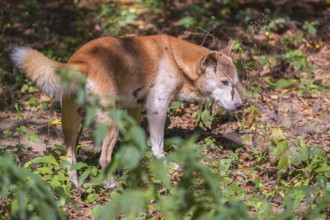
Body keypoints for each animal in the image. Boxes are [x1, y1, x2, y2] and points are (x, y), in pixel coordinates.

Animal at [10, 34, 242, 187]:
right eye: (224, 82)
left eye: (236, 82)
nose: (240, 105)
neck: (176, 60)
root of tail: (81, 63)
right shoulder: (157, 109)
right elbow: (158, 147)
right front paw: (166, 166)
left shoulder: (135, 109)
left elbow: (135, 142)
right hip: (110, 123)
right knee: (103, 159)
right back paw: (110, 184)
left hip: (71, 124)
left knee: (70, 159)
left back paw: (75, 189)